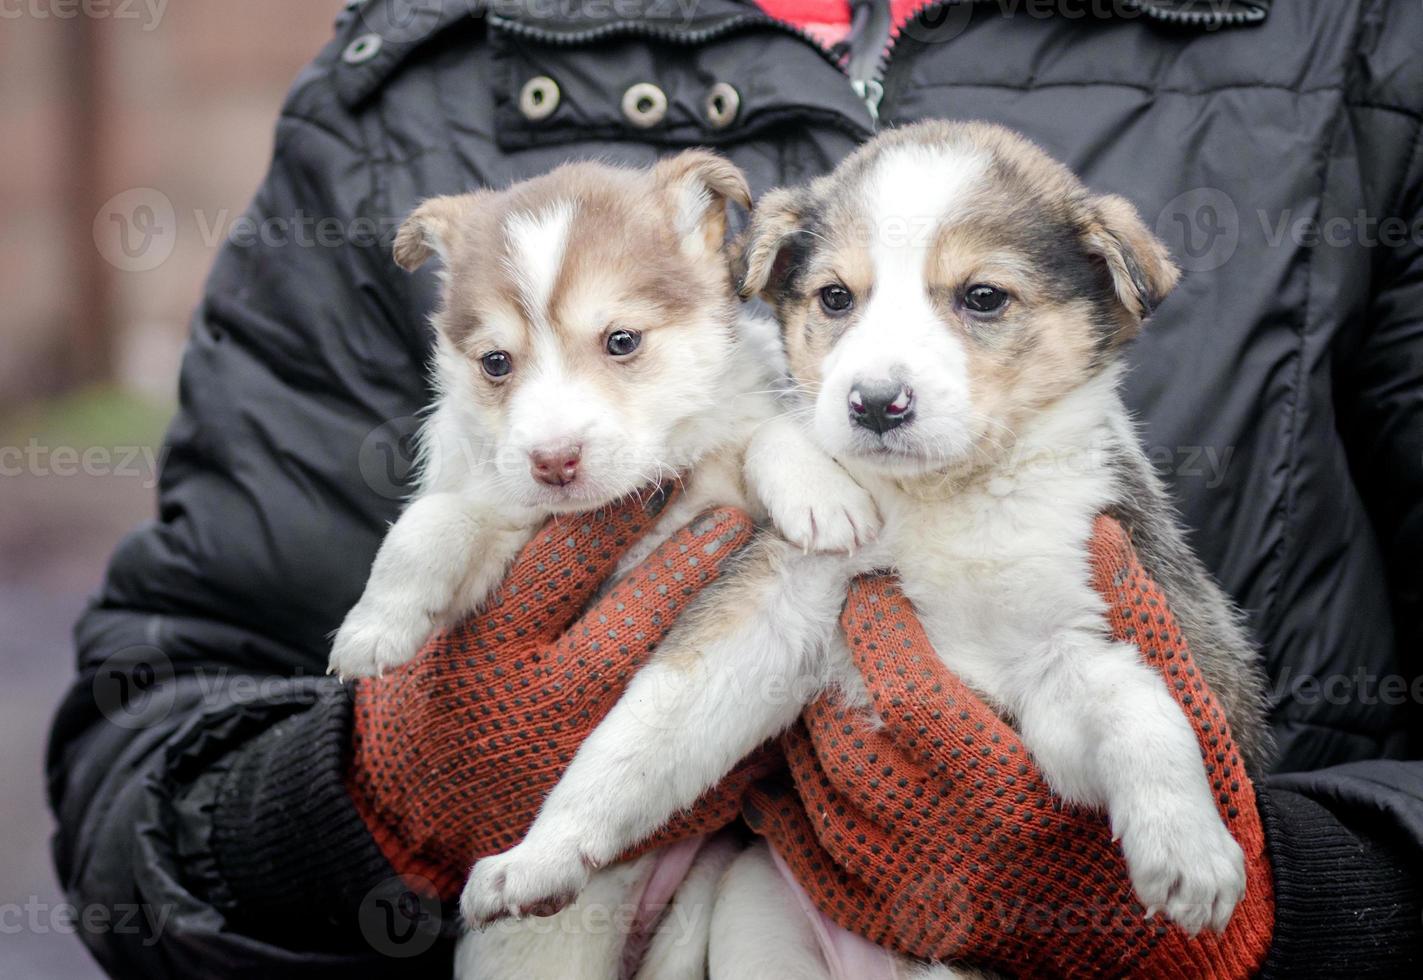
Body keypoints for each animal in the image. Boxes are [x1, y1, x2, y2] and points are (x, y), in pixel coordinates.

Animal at [327, 152, 870, 978]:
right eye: (496, 363)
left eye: (621, 342)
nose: (553, 461)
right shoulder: (501, 511)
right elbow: (432, 521)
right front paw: (375, 624)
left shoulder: (741, 531)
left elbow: (767, 435)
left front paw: (818, 488)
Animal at [461, 122, 1275, 978]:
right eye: (835, 297)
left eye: (983, 297)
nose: (876, 404)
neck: (942, 503)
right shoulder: (774, 607)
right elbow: (638, 733)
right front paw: (541, 854)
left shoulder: (1059, 647)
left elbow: (1139, 703)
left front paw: (1188, 847)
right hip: (756, 923)